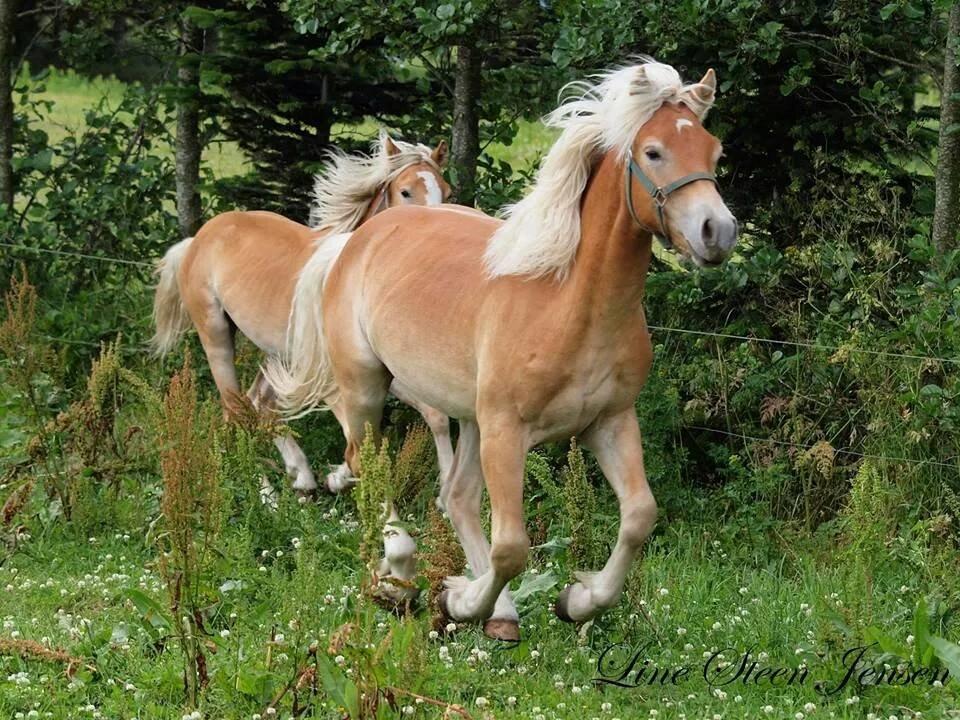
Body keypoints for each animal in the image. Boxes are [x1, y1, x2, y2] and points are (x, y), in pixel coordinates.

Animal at [151, 132, 454, 498]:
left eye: (447, 192)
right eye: (406, 191)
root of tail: (198, 238)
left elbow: (435, 415)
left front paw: (446, 495)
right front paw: (339, 479)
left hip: (276, 355)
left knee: (258, 406)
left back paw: (298, 476)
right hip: (217, 335)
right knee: (238, 409)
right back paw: (267, 492)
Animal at [266, 59, 740, 640]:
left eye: (714, 152)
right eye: (653, 152)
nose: (717, 232)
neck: (568, 306)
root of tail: (356, 240)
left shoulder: (609, 422)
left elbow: (638, 519)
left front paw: (575, 601)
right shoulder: (506, 431)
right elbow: (512, 546)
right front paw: (459, 602)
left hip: (468, 416)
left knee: (457, 497)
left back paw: (498, 611)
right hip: (368, 389)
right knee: (368, 467)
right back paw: (397, 576)